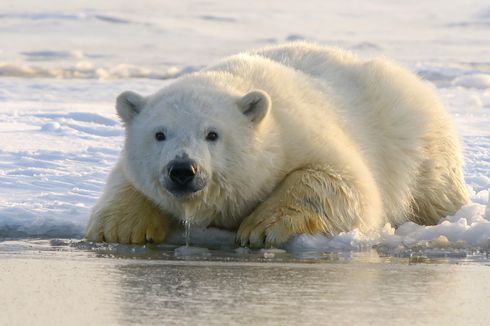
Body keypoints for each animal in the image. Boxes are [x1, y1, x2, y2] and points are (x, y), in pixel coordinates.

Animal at [85, 42, 470, 247]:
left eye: (212, 134)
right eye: (159, 134)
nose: (183, 170)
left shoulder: (302, 133)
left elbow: (344, 182)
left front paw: (260, 228)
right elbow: (125, 179)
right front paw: (121, 228)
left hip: (417, 142)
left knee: (435, 190)